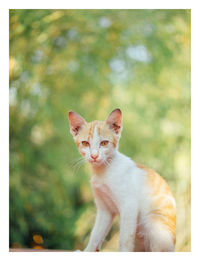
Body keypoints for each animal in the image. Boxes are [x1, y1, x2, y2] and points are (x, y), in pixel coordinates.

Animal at [68, 107, 176, 250]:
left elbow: (125, 239)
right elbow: (96, 234)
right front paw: (88, 250)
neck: (103, 171)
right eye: (85, 143)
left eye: (104, 143)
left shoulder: (129, 206)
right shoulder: (105, 210)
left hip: (154, 224)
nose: (94, 156)